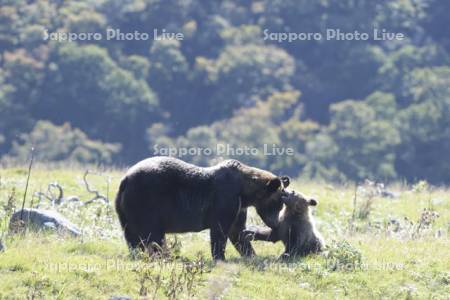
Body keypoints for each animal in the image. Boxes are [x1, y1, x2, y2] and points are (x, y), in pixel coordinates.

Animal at [116, 157, 290, 260]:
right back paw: (165, 255)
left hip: (126, 209)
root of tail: (125, 179)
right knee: (153, 234)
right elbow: (220, 230)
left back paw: (138, 253)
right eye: (278, 203)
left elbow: (237, 231)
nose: (275, 223)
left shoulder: (239, 207)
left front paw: (251, 254)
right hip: (148, 201)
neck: (245, 191)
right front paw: (220, 257)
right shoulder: (225, 198)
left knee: (131, 235)